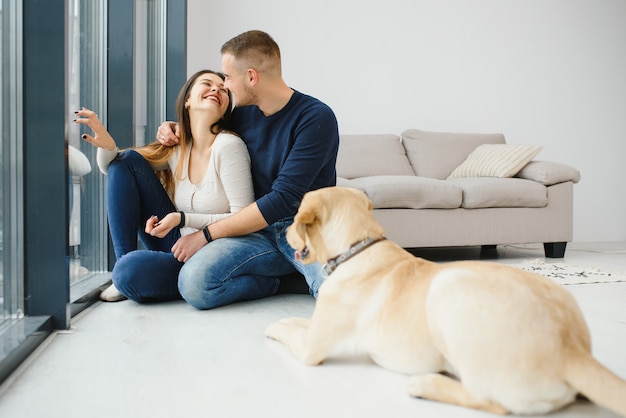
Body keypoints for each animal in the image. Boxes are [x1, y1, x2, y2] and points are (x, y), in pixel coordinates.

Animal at [264, 188, 624, 416]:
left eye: (295, 219)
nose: (285, 234)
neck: (358, 247)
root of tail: (571, 348)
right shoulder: (318, 325)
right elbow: (299, 322)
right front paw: (284, 320)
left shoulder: (312, 348)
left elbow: (290, 331)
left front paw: (272, 325)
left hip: (448, 287)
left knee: (490, 400)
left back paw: (426, 383)